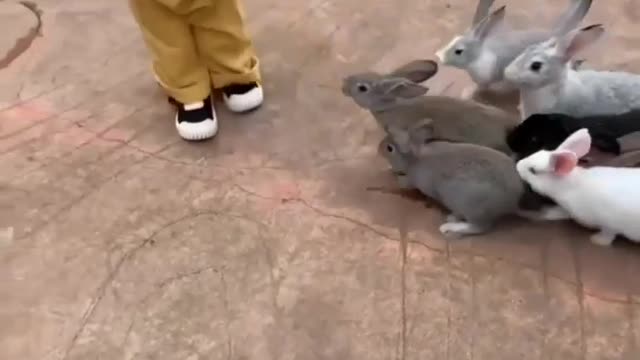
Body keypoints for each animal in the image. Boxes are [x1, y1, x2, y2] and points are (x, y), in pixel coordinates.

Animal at [376, 122, 528, 238]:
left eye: (389, 148)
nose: (378, 149)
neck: (414, 159)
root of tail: (513, 203)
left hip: (469, 205)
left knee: (479, 227)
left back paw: (449, 227)